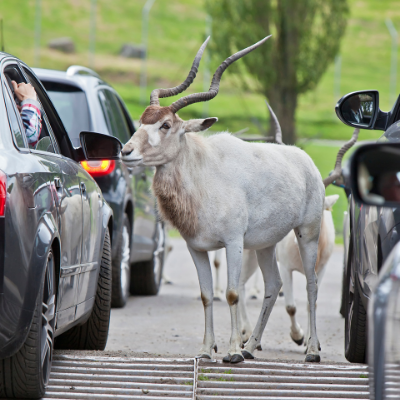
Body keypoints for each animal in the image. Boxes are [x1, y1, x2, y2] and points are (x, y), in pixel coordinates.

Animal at [119, 36, 354, 364]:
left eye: (165, 125)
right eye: (142, 121)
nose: (126, 151)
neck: (203, 174)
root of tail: (305, 160)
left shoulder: (233, 242)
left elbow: (231, 292)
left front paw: (231, 352)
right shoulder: (196, 248)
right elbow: (207, 295)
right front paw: (207, 351)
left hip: (307, 233)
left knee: (311, 284)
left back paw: (310, 350)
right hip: (267, 244)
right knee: (274, 285)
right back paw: (251, 345)